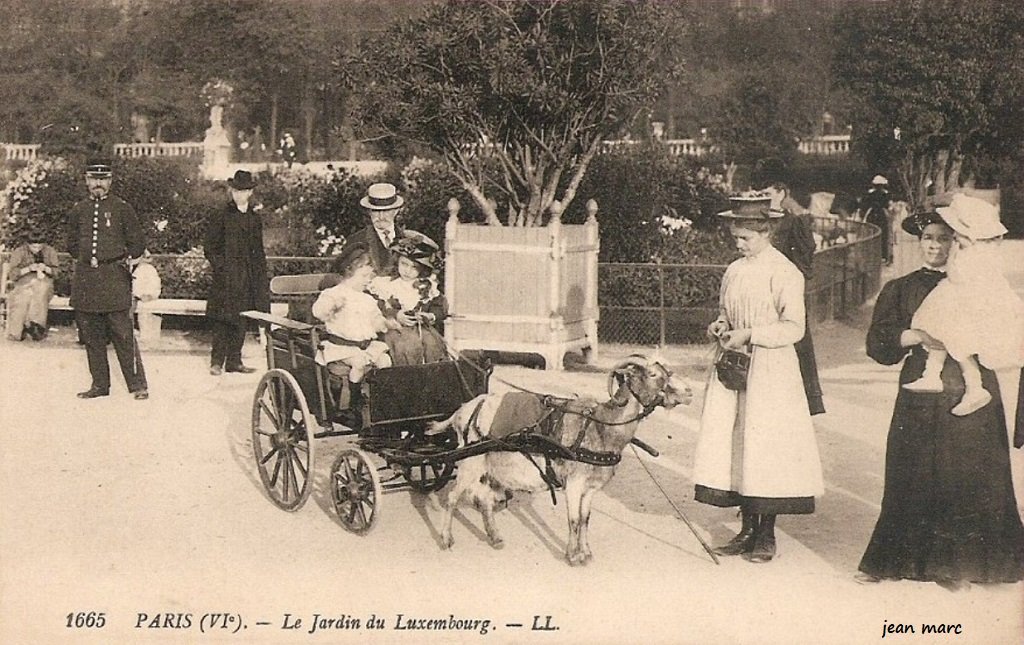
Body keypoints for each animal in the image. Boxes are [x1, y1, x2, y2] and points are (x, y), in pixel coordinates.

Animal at [428, 358, 692, 565]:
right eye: (653, 374)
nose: (689, 392)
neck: (601, 425)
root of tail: (463, 410)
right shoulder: (573, 483)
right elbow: (573, 520)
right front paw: (572, 556)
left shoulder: (591, 488)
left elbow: (585, 519)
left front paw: (586, 553)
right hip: (469, 462)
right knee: (452, 498)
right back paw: (446, 539)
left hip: (485, 466)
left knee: (483, 499)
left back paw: (495, 537)